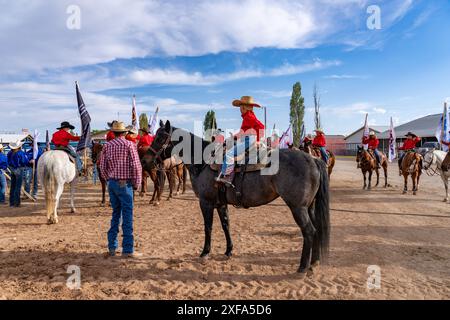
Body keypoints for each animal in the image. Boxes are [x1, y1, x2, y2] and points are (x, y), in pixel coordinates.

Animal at [142, 121, 332, 274]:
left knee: (309, 231)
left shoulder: (206, 203)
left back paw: (302, 267)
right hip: (309, 206)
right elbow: (226, 225)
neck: (203, 162)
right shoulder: (221, 204)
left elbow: (208, 227)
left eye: (160, 138)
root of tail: (313, 159)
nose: (145, 160)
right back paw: (314, 263)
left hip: (298, 208)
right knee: (316, 229)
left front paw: (205, 253)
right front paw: (228, 251)